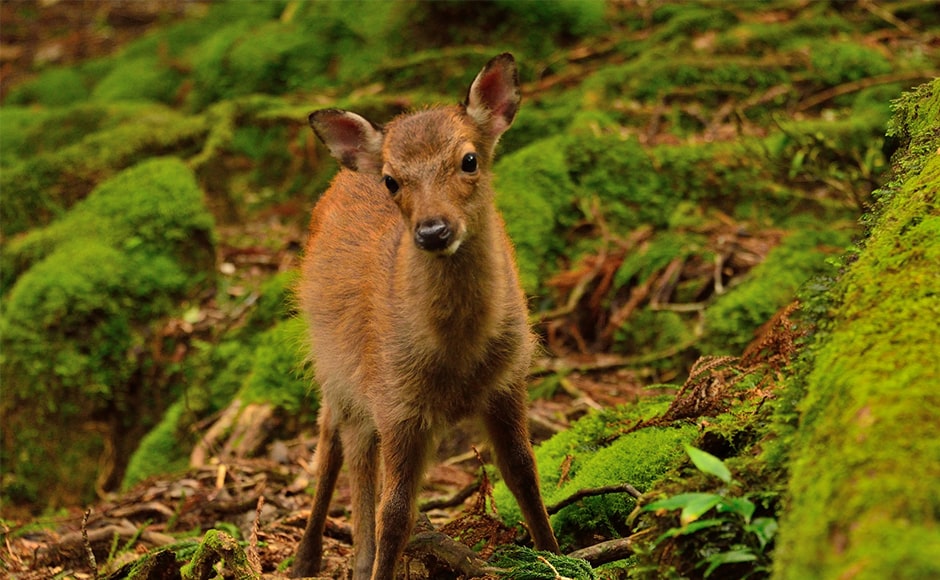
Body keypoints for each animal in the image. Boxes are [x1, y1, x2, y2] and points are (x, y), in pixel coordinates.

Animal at [292, 52, 560, 576]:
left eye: (469, 159)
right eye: (392, 180)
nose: (434, 231)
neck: (457, 357)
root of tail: (344, 172)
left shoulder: (509, 380)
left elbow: (524, 471)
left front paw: (557, 553)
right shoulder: (397, 402)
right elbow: (394, 511)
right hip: (334, 364)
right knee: (334, 441)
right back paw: (314, 558)